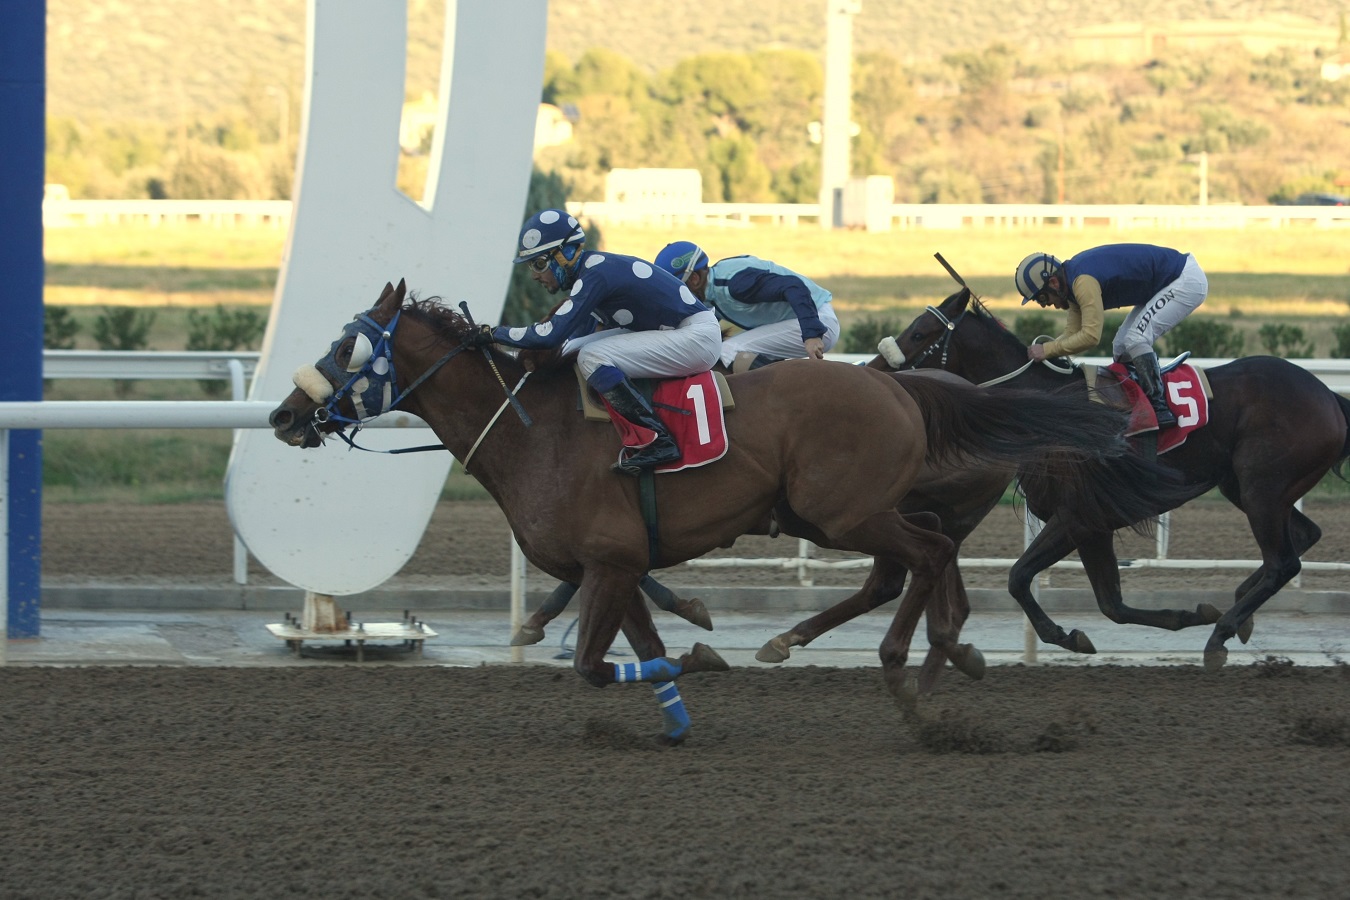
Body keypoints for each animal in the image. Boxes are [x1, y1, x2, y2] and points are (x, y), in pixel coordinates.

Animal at [268, 280, 1139, 741]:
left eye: (346, 349)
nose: (283, 414)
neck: (533, 430)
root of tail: (900, 388)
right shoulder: (616, 565)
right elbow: (634, 648)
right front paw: (678, 705)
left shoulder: (611, 560)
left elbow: (595, 665)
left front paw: (701, 653)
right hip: (848, 511)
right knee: (924, 557)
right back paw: (940, 656)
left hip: (842, 510)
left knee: (921, 559)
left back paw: (909, 677)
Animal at [874, 285, 1350, 669]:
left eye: (918, 334)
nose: (875, 369)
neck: (1046, 408)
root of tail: (1328, 395)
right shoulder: (1094, 525)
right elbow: (1111, 604)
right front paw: (1187, 614)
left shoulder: (1078, 516)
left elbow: (1019, 577)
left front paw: (1064, 634)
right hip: (1249, 486)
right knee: (1301, 538)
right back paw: (1237, 611)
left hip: (1262, 488)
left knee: (1282, 562)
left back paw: (1221, 634)